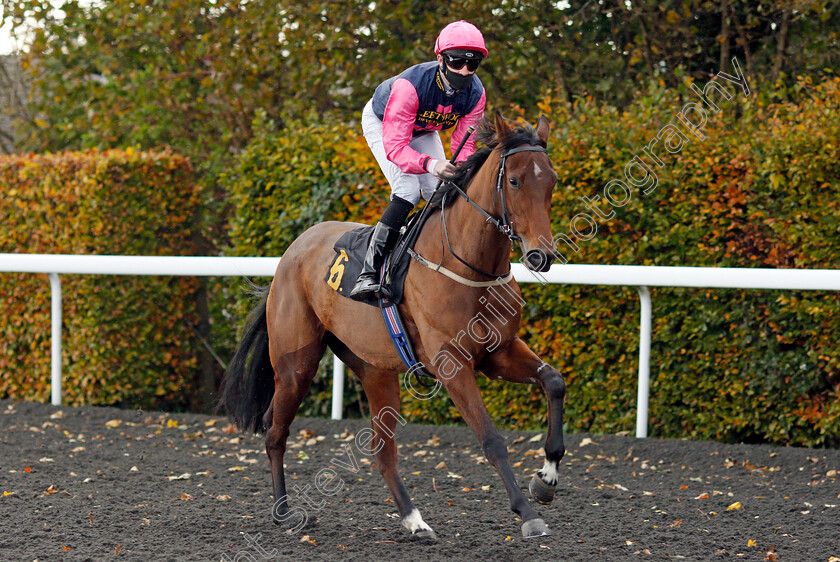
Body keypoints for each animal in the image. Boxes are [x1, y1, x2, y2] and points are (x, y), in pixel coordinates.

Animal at [220, 112, 568, 540]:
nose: (541, 256)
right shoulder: (453, 365)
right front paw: (527, 512)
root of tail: (291, 253)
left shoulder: (498, 352)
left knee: (383, 454)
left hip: (375, 370)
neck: (468, 265)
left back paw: (415, 520)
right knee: (275, 431)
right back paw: (284, 512)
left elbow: (553, 381)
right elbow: (490, 438)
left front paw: (546, 479)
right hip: (295, 365)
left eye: (551, 180)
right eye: (515, 181)